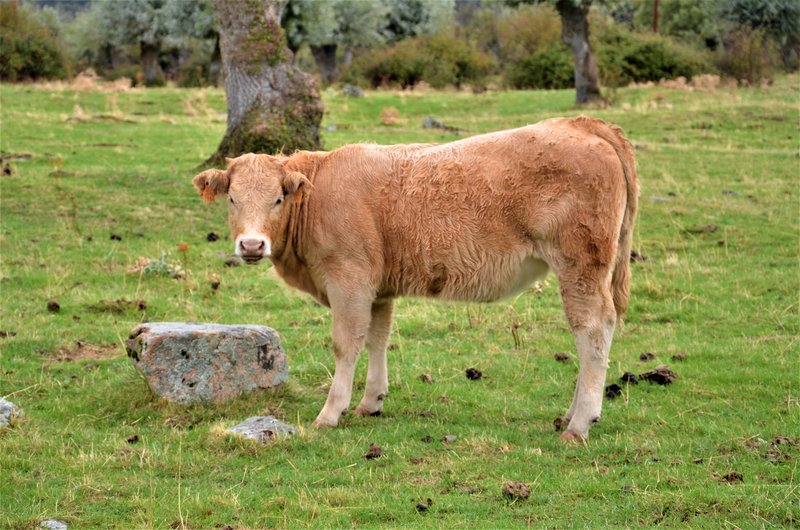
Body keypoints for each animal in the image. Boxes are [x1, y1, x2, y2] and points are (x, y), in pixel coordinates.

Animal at [192, 115, 636, 438]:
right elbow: (376, 338)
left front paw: (330, 413)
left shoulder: (349, 280)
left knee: (592, 329)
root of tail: (580, 123)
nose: (252, 245)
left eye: (278, 198)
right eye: (232, 198)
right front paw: (371, 401)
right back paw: (571, 415)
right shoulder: (377, 288)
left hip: (580, 265)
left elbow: (345, 343)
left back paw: (579, 423)